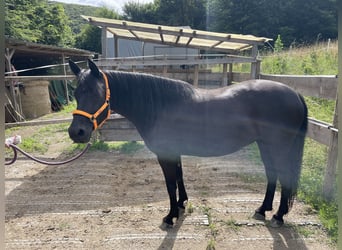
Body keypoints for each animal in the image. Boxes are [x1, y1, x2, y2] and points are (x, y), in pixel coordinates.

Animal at [67, 59, 308, 228]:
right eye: (76, 92)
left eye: (95, 92)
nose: (76, 132)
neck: (159, 106)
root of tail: (294, 93)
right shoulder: (174, 152)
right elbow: (179, 178)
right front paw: (182, 204)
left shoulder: (165, 154)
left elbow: (170, 184)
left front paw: (170, 216)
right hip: (265, 144)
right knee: (272, 174)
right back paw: (263, 209)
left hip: (278, 146)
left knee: (283, 176)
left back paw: (278, 216)